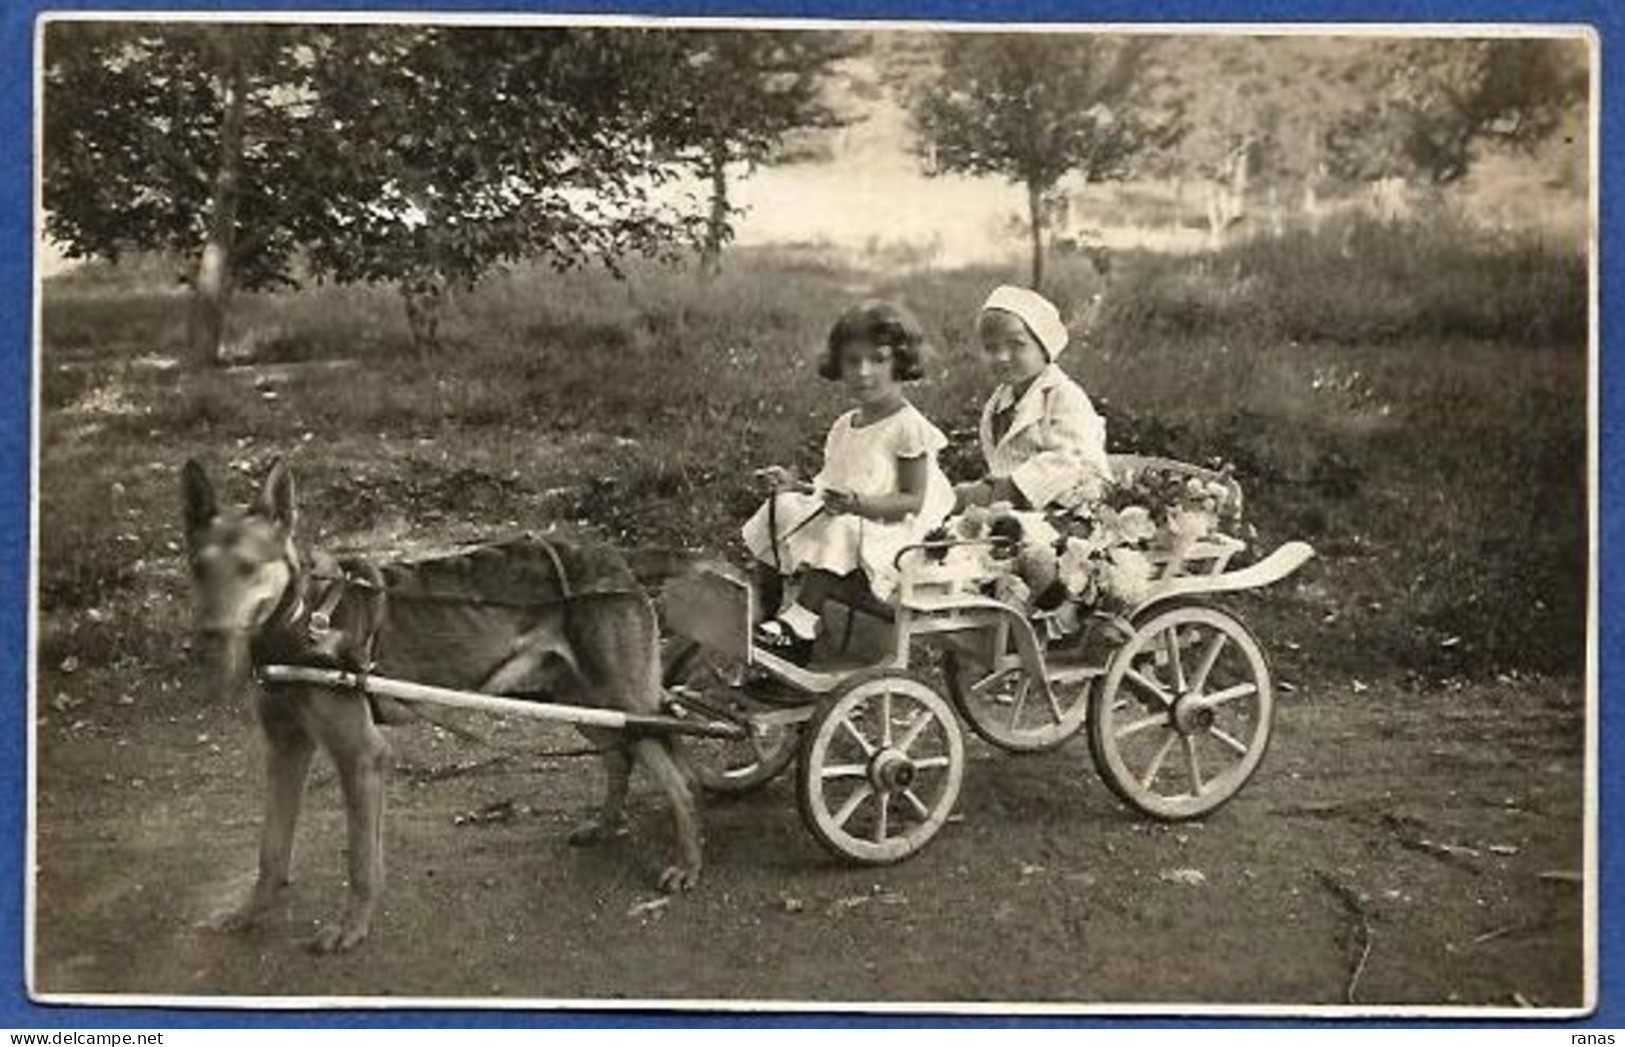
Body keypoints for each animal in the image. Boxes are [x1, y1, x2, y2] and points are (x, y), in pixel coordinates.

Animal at [182, 458, 698, 949]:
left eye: (248, 567)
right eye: (200, 569)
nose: (208, 633)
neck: (303, 617)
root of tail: (613, 554)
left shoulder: (361, 756)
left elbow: (360, 864)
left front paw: (351, 928)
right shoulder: (285, 749)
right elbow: (270, 851)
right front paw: (248, 913)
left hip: (622, 701)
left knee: (679, 779)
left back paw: (687, 863)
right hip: (583, 704)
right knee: (620, 760)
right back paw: (606, 827)